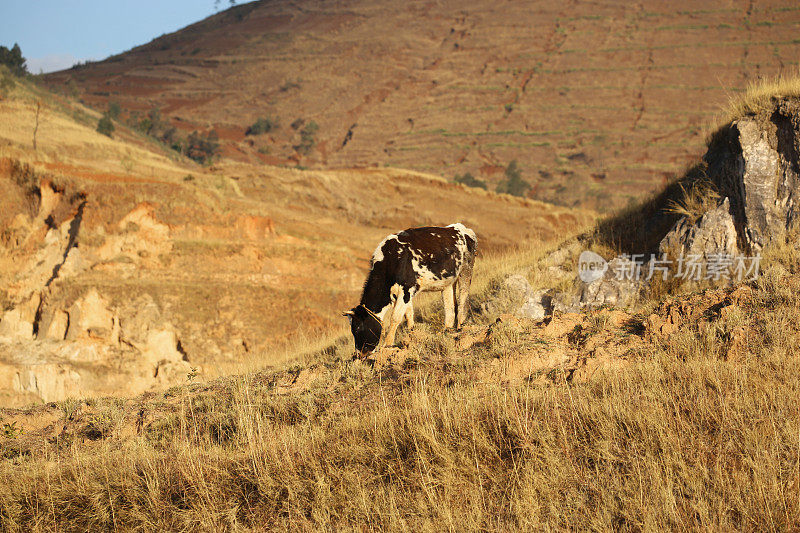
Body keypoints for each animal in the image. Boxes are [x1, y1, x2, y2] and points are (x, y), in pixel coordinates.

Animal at [342, 222, 476, 356]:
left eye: (357, 328)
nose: (359, 354)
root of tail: (459, 227)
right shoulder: (405, 292)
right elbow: (408, 314)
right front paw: (412, 335)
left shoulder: (406, 289)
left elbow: (395, 317)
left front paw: (387, 344)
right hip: (448, 281)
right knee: (450, 307)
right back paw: (447, 330)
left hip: (466, 270)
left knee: (463, 298)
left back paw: (460, 327)